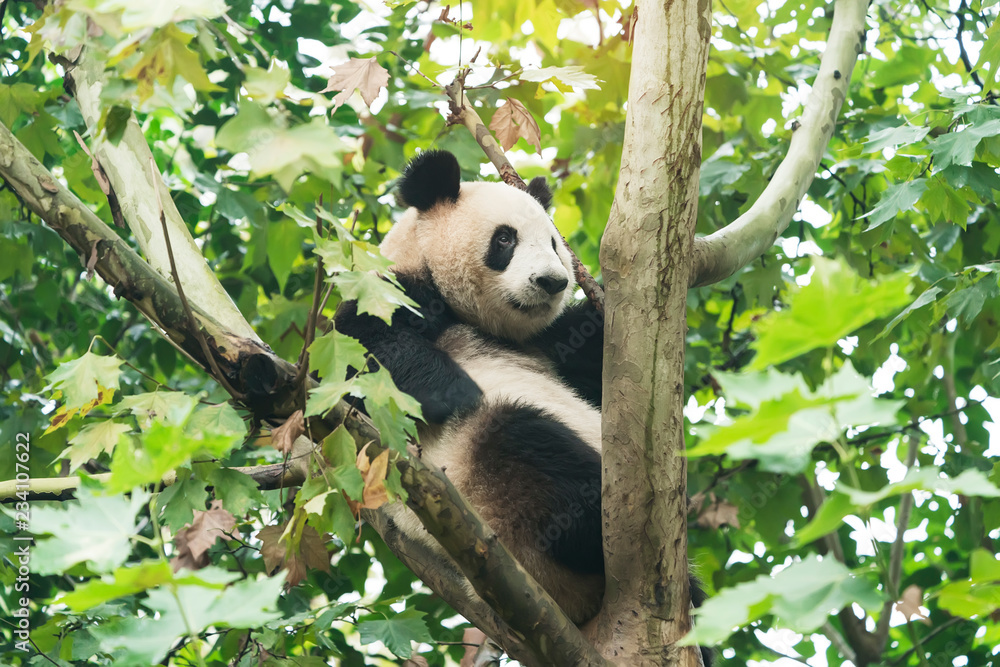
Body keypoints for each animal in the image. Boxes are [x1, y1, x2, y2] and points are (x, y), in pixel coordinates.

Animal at [335, 151, 708, 656]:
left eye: (553, 242)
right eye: (505, 239)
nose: (552, 282)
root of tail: (577, 609)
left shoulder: (551, 345)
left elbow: (595, 357)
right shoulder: (389, 294)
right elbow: (359, 357)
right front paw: (456, 390)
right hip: (502, 499)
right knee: (535, 455)